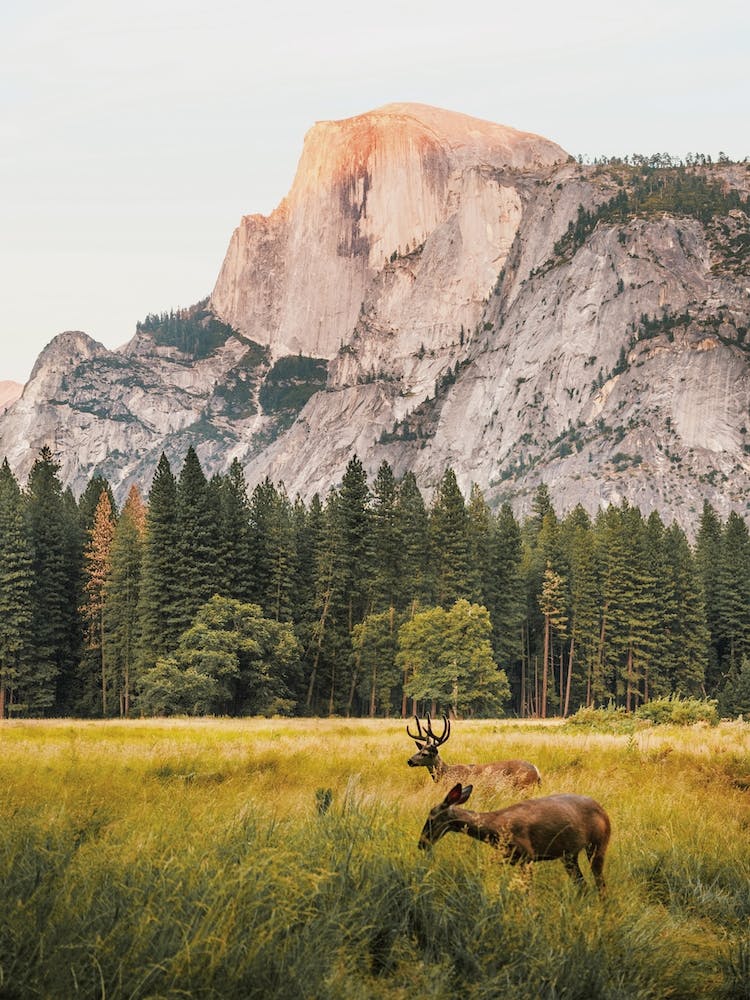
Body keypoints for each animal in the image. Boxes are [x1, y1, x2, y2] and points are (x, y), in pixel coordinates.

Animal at [406, 714, 541, 789]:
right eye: (419, 749)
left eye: (425, 754)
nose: (409, 761)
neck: (446, 773)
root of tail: (537, 771)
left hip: (524, 787)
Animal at [418, 782, 611, 894]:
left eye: (431, 819)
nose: (421, 844)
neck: (495, 827)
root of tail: (603, 811)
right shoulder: (509, 857)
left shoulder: (527, 855)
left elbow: (527, 891)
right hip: (569, 855)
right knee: (582, 884)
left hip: (598, 845)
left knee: (600, 884)